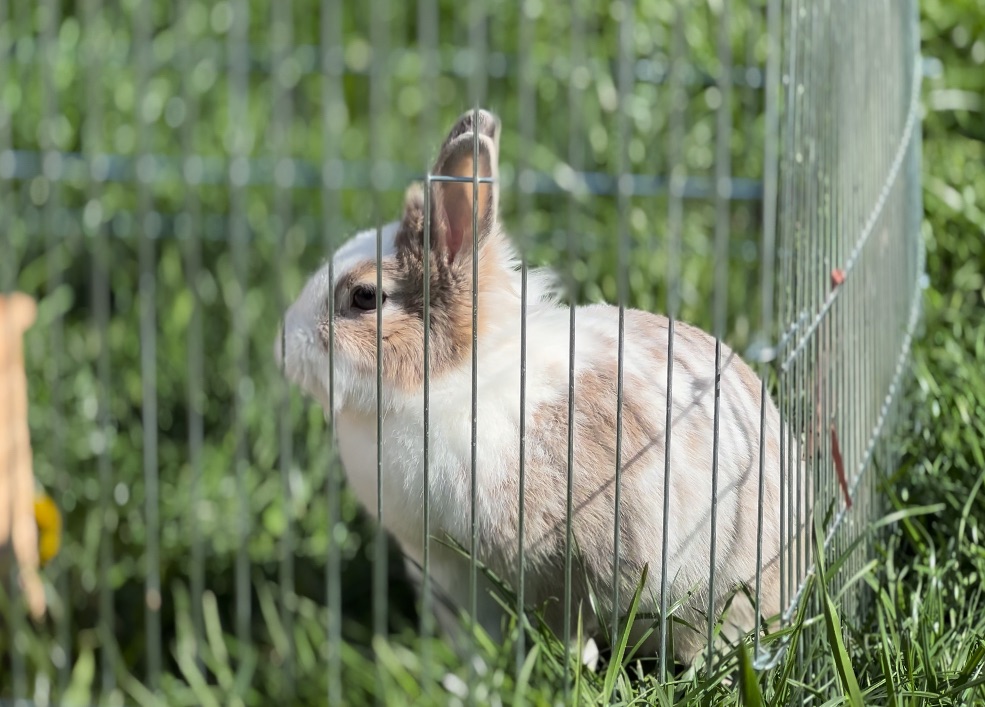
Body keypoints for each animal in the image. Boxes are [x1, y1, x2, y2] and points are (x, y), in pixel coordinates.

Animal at [274, 106, 808, 668]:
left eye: (364, 297)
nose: (283, 346)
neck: (449, 381)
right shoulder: (447, 571)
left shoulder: (560, 564)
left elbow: (567, 623)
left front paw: (572, 666)